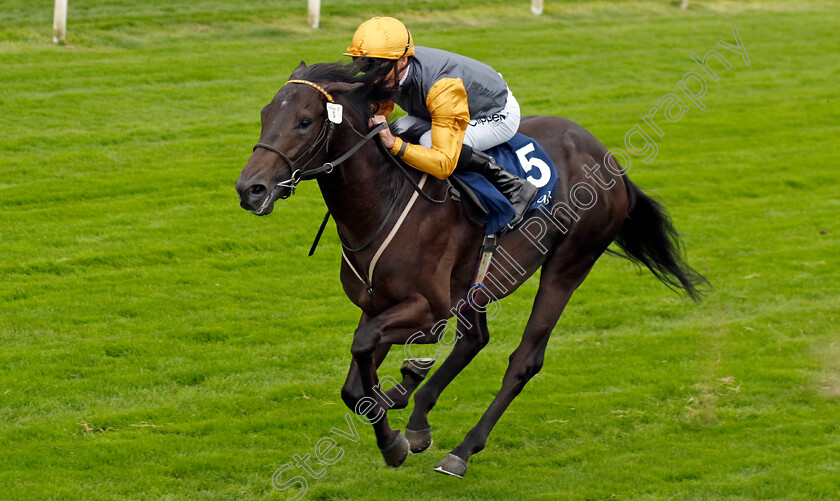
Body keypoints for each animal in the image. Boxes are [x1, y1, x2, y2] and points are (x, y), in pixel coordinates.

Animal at [233, 61, 704, 476]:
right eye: (265, 115)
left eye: (305, 121)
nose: (249, 189)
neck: (382, 200)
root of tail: (609, 160)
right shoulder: (377, 303)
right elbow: (355, 386)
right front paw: (399, 406)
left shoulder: (429, 307)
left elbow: (365, 347)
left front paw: (392, 438)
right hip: (482, 274)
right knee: (475, 338)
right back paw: (418, 414)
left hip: (569, 263)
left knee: (524, 359)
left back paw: (461, 450)